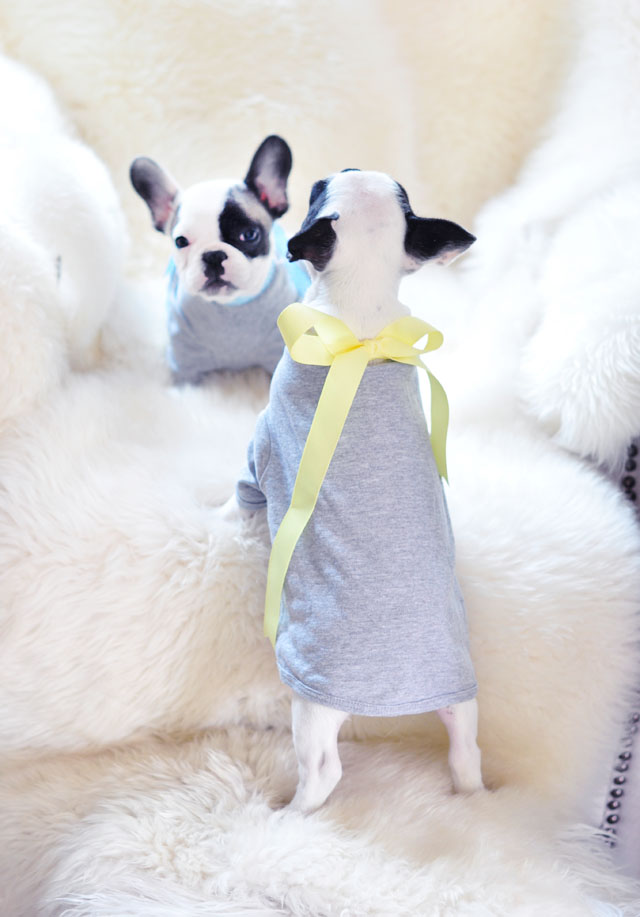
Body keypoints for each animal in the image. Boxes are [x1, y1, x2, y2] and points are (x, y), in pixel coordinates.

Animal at [238, 168, 482, 812]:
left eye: (319, 188)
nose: (330, 171)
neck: (362, 333)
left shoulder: (259, 446)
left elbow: (240, 494)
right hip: (464, 703)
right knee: (466, 752)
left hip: (311, 706)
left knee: (323, 772)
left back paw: (290, 813)